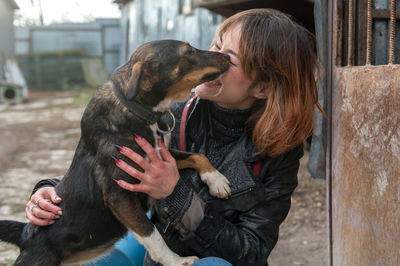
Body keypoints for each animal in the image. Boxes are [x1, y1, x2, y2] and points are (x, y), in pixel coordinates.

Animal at [0, 40, 231, 266]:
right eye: (189, 51)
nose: (228, 56)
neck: (140, 112)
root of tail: (25, 234)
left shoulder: (163, 156)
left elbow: (198, 156)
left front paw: (217, 181)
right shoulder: (119, 195)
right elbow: (151, 233)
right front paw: (176, 261)